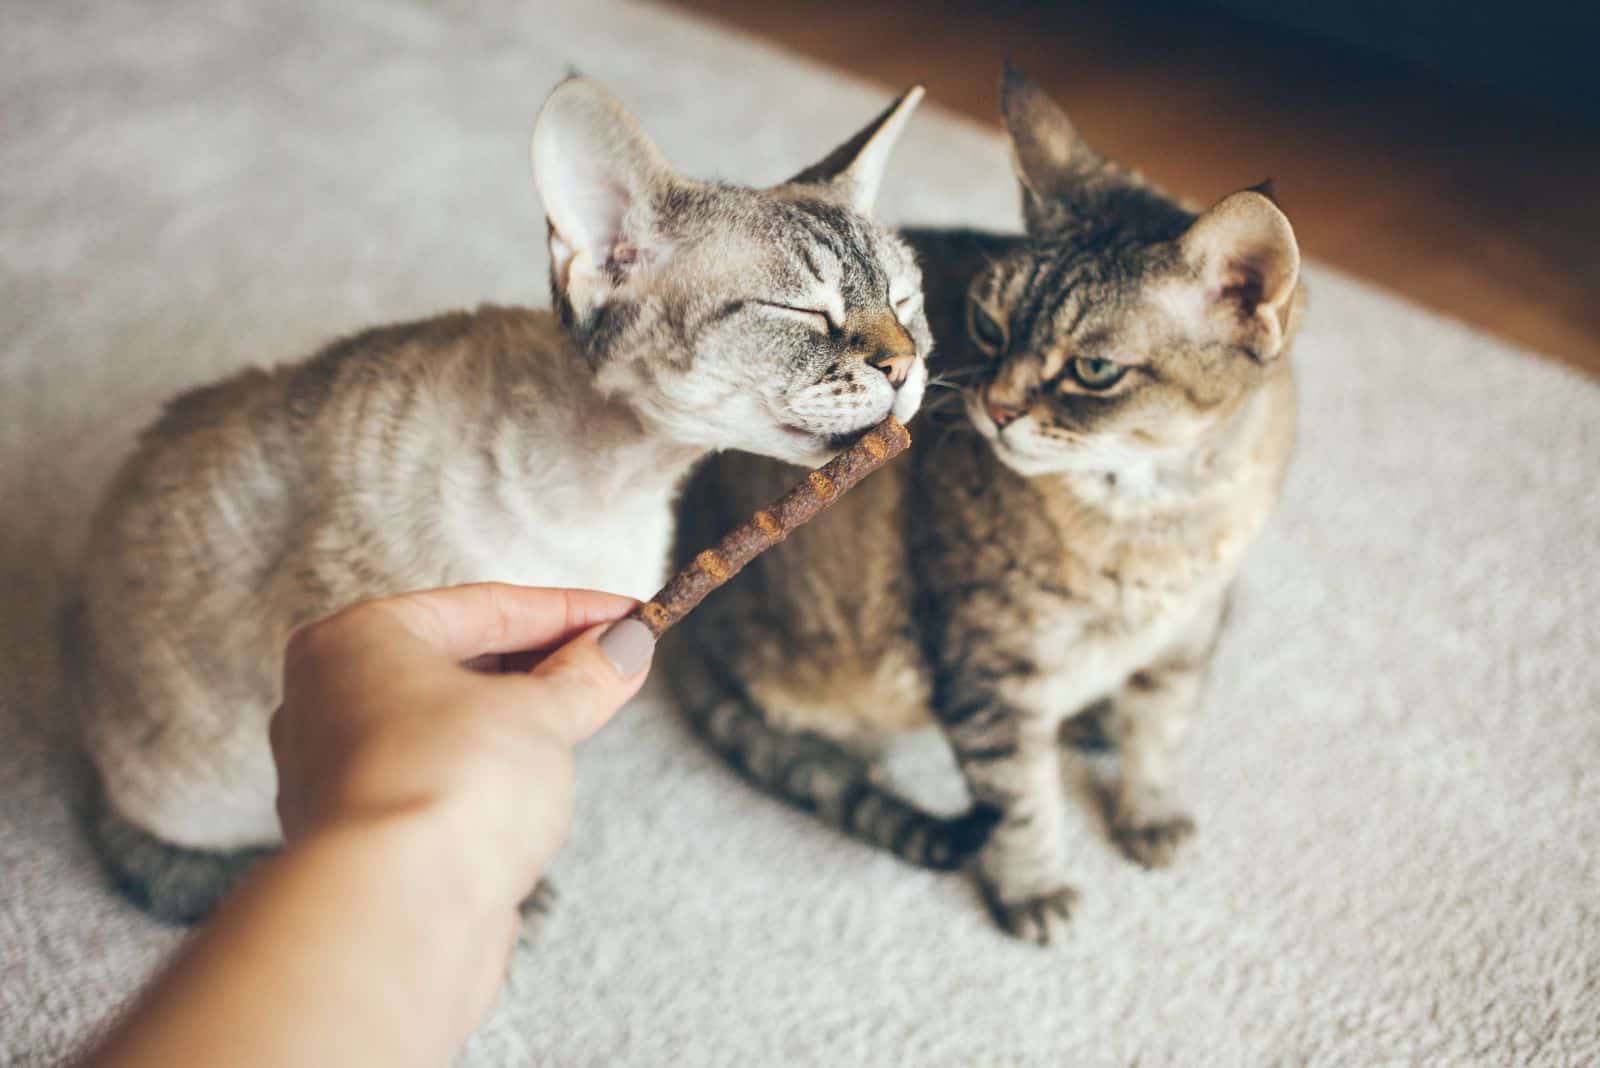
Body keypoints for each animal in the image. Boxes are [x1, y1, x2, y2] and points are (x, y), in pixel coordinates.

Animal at [662, 64, 1299, 940]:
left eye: (1094, 369)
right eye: (989, 326)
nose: (993, 407)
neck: (1157, 518)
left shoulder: (1187, 638)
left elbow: (1159, 735)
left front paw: (1148, 811)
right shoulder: (991, 673)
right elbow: (1023, 803)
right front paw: (1033, 889)